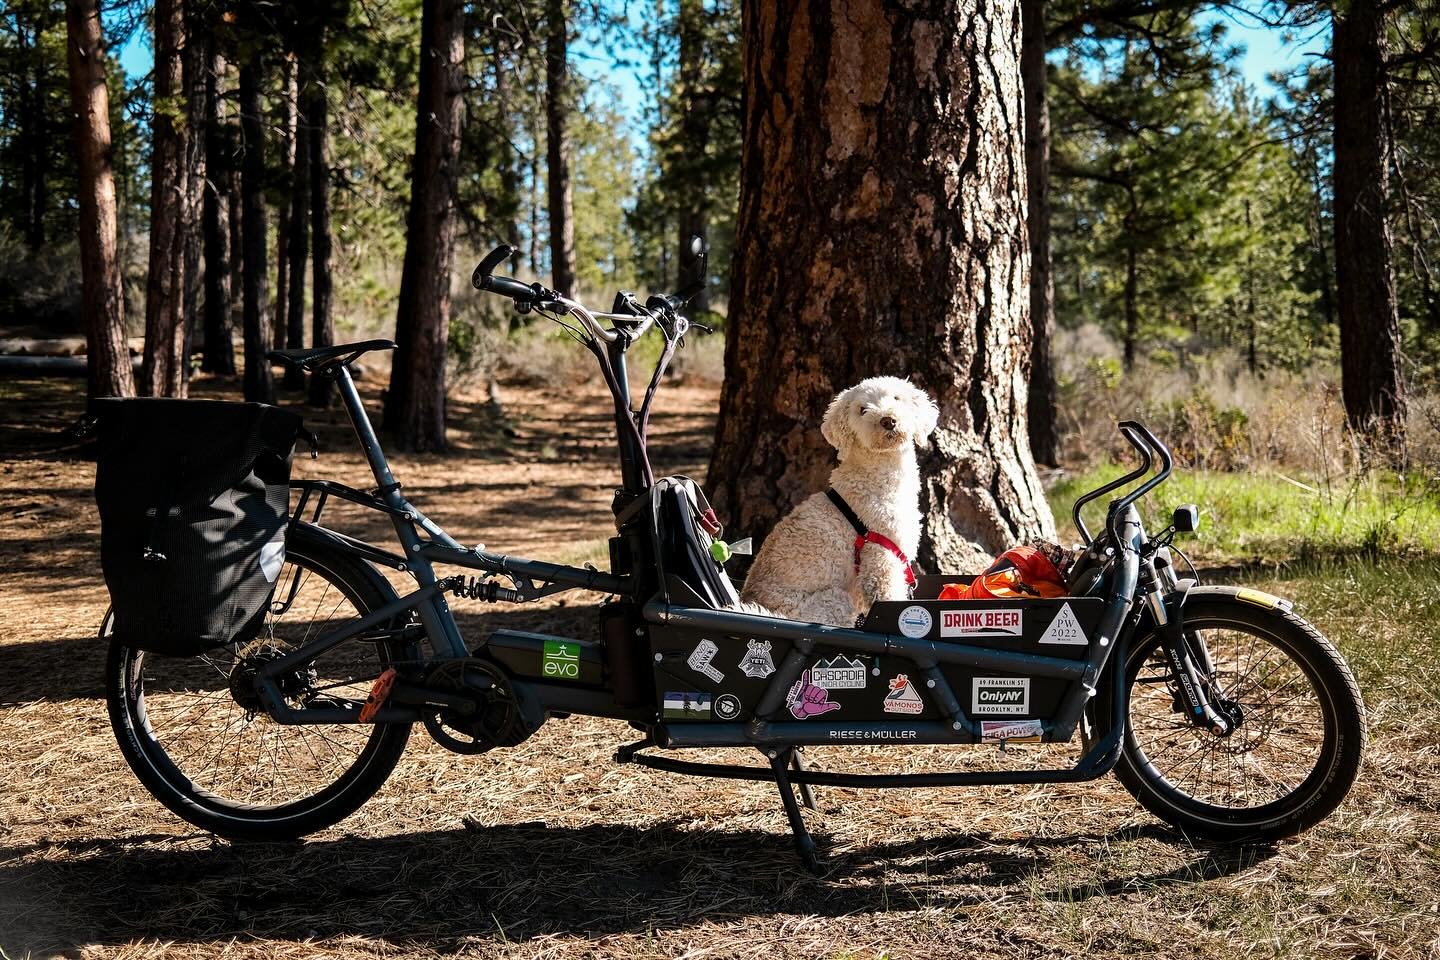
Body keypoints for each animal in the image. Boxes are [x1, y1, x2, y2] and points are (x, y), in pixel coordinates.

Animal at [743, 374, 944, 630]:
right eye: (862, 410)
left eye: (896, 398)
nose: (888, 420)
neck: (877, 474)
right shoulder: (881, 558)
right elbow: (889, 596)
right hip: (834, 602)